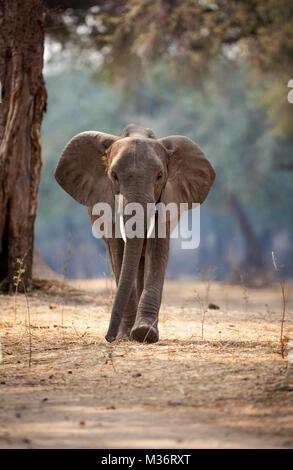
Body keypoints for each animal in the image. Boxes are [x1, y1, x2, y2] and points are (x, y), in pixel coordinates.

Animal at [54, 124, 214, 346]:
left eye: (159, 176)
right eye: (114, 176)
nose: (109, 337)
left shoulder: (167, 199)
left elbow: (157, 249)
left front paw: (145, 333)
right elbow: (119, 251)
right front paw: (128, 335)